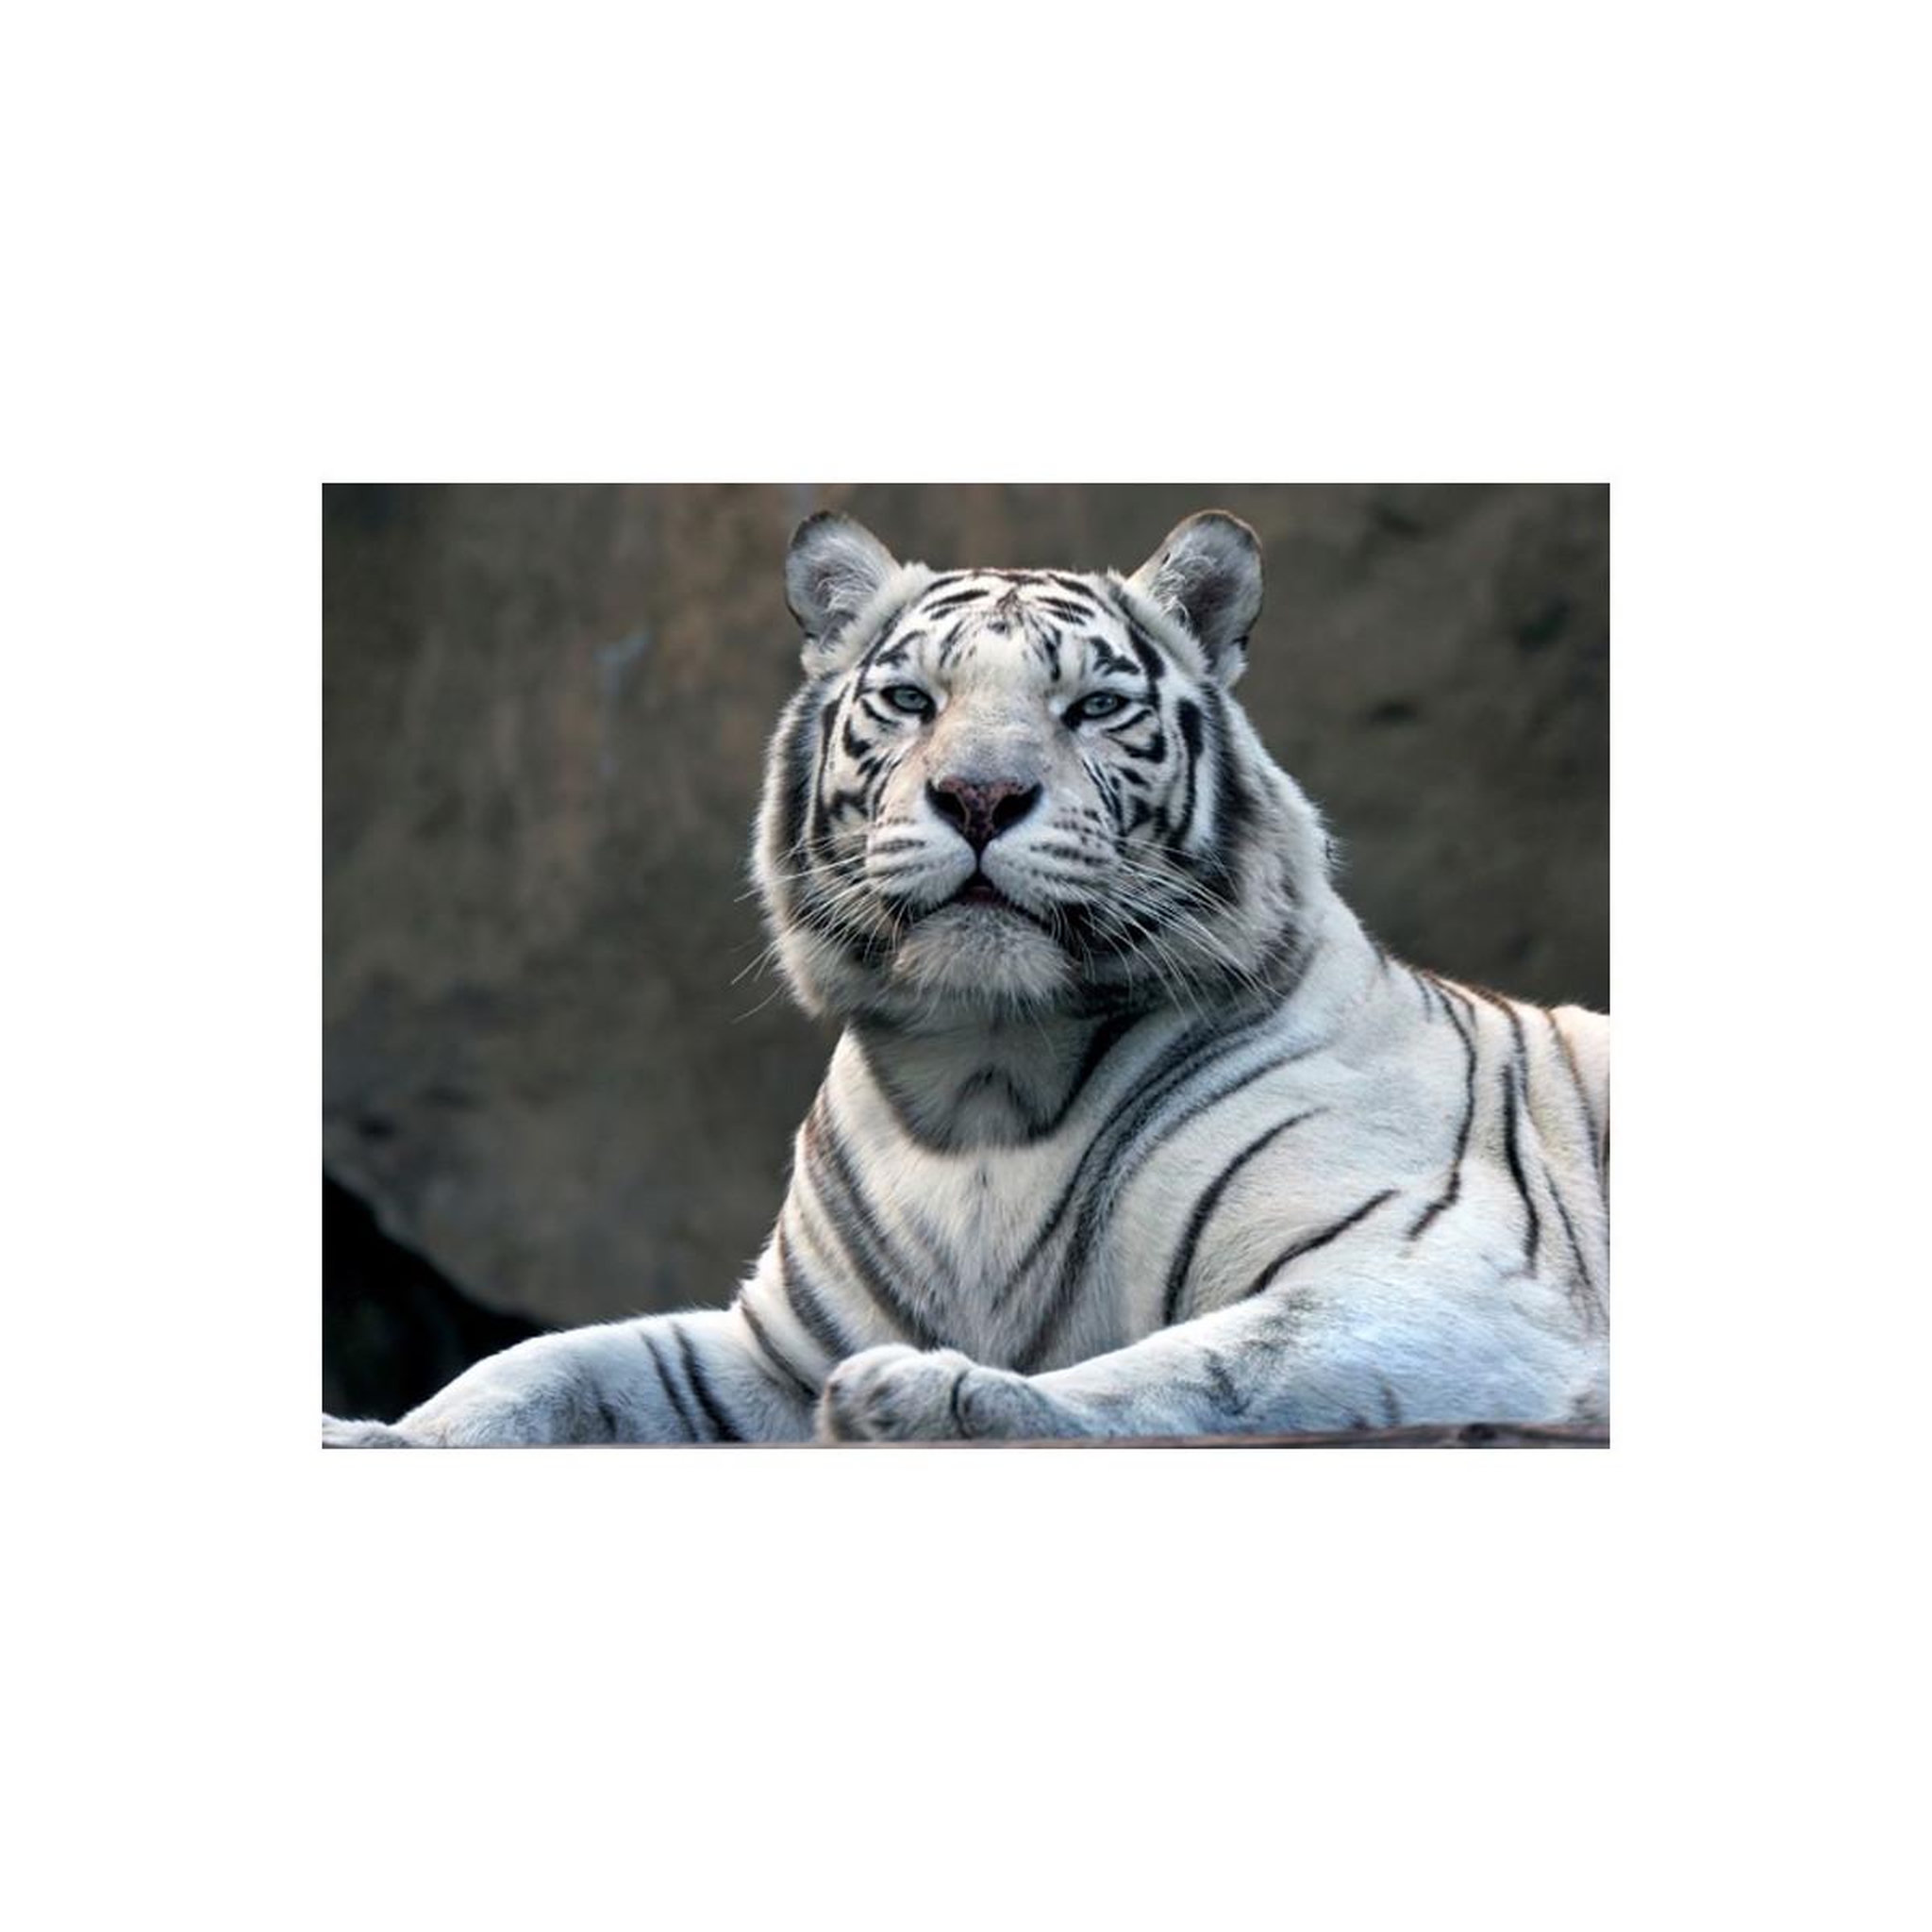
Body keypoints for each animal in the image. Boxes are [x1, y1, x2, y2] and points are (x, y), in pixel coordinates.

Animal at [322, 508, 1609, 1446]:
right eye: (910, 699)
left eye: (1093, 706)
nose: (981, 795)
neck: (983, 1078)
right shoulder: (770, 1350)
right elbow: (549, 1362)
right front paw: (382, 1433)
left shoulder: (1439, 1279)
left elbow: (1200, 1366)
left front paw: (934, 1395)